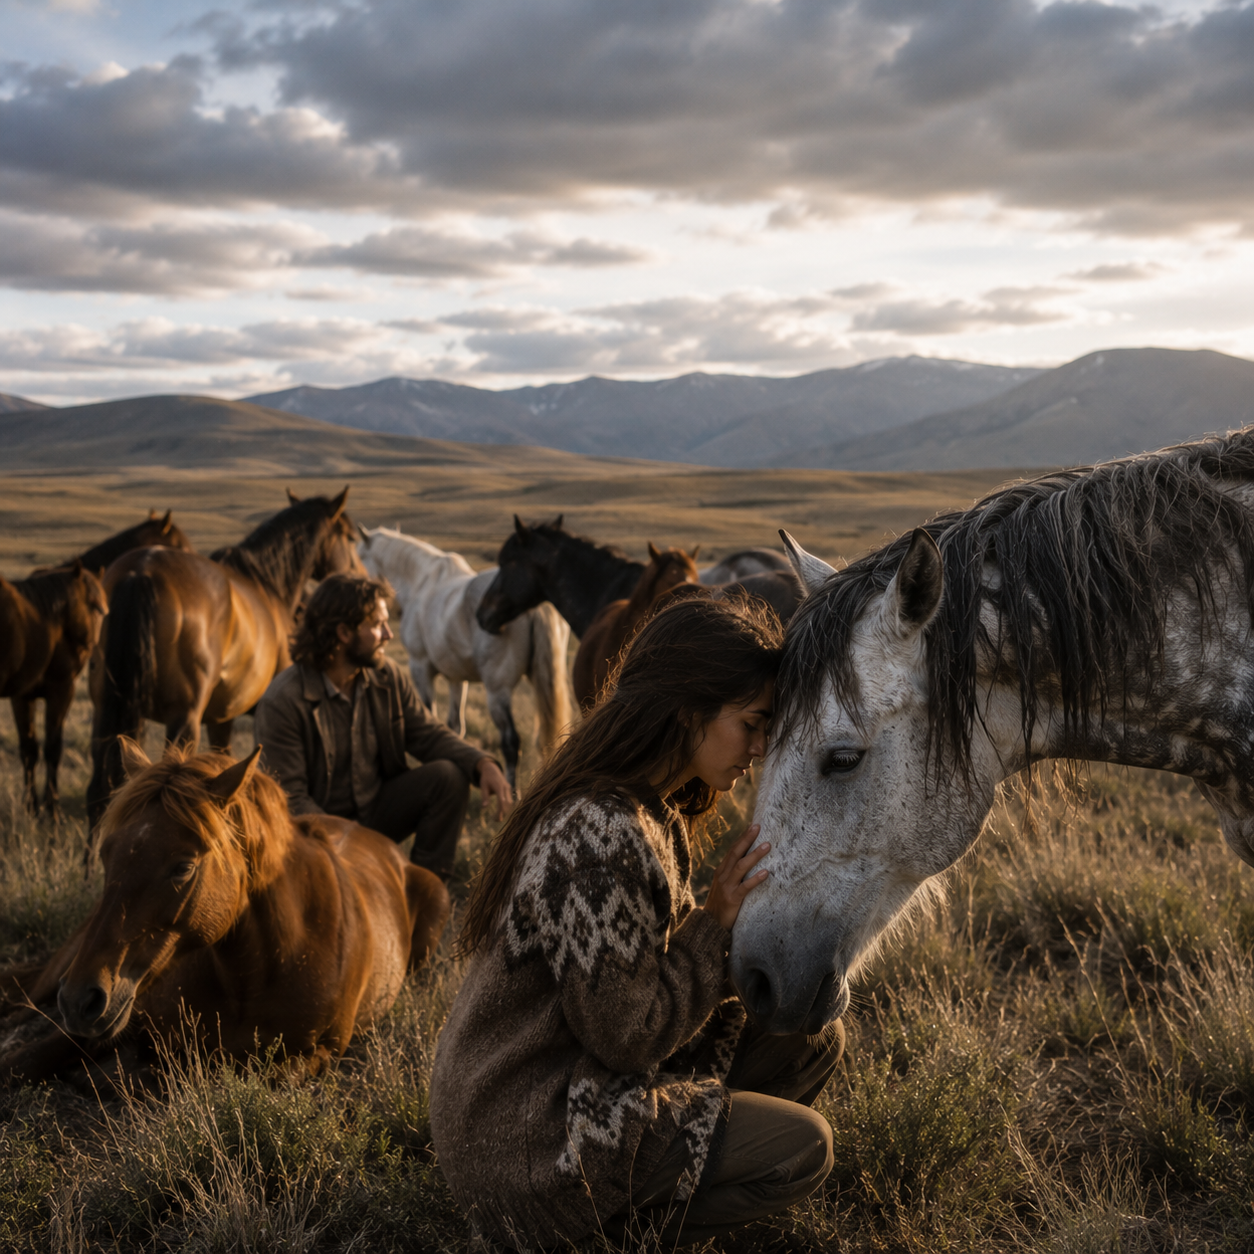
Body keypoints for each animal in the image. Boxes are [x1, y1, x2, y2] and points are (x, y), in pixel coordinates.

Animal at [0, 742, 449, 1084]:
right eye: (106, 853)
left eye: (183, 866)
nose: (80, 1000)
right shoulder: (123, 1016)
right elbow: (21, 1063)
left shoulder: (321, 1051)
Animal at [1, 562, 108, 814]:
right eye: (98, 609)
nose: (94, 660)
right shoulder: (61, 691)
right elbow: (51, 748)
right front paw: (51, 809)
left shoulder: (23, 696)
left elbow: (30, 750)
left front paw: (32, 807)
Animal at [86, 489, 364, 829]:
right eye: (351, 537)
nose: (362, 577)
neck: (268, 585)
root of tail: (141, 570)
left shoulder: (220, 718)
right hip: (183, 720)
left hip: (105, 708)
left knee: (99, 791)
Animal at [356, 526, 573, 786]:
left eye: (359, 558)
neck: (420, 582)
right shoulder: (456, 678)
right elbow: (455, 728)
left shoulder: (420, 668)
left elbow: (430, 716)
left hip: (497, 690)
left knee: (510, 743)